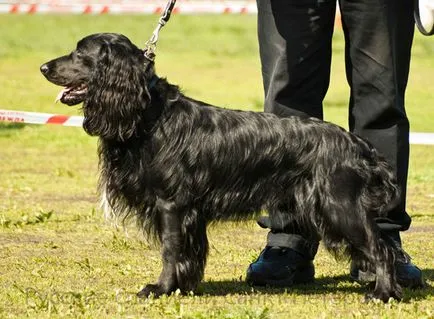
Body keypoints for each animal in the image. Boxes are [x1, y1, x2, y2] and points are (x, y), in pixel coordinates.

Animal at [41, 33, 404, 304]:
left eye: (79, 53)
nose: (43, 66)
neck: (149, 115)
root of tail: (358, 145)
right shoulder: (189, 211)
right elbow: (189, 251)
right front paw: (184, 287)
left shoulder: (171, 203)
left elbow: (170, 249)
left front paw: (161, 288)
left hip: (339, 206)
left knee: (382, 249)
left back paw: (383, 293)